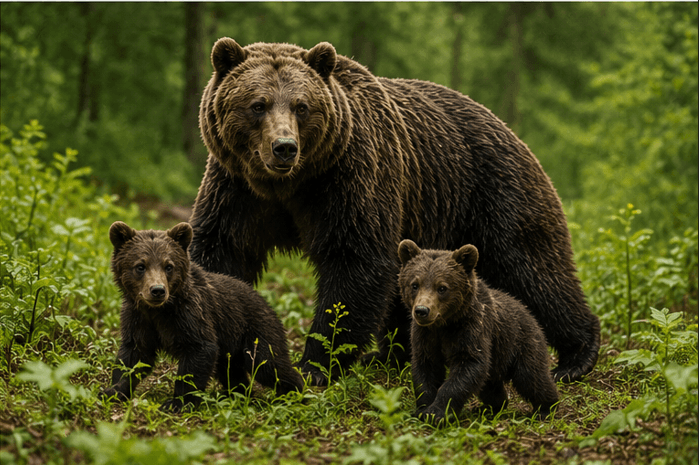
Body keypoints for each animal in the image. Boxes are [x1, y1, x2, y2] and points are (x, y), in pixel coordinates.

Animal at [101, 221, 303, 412]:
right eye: (140, 266)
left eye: (169, 266)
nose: (157, 290)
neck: (159, 310)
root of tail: (266, 302)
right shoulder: (138, 319)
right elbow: (133, 356)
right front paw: (113, 390)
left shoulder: (190, 316)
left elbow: (198, 351)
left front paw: (177, 402)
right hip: (231, 344)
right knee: (230, 370)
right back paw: (238, 393)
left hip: (256, 330)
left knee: (268, 364)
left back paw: (294, 393)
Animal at [188, 38, 600, 385]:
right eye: (257, 105)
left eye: (301, 106)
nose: (284, 147)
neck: (290, 184)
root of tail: (508, 128)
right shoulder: (237, 190)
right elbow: (222, 251)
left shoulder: (349, 178)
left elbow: (355, 261)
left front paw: (316, 364)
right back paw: (391, 355)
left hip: (495, 193)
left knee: (533, 268)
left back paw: (577, 355)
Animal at [397, 239, 560, 423]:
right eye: (414, 285)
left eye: (442, 287)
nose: (422, 310)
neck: (445, 323)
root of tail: (530, 314)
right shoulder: (425, 335)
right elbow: (425, 369)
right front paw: (423, 409)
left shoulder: (472, 329)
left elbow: (469, 366)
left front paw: (437, 412)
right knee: (491, 385)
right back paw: (490, 407)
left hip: (522, 343)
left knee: (531, 378)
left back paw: (546, 408)